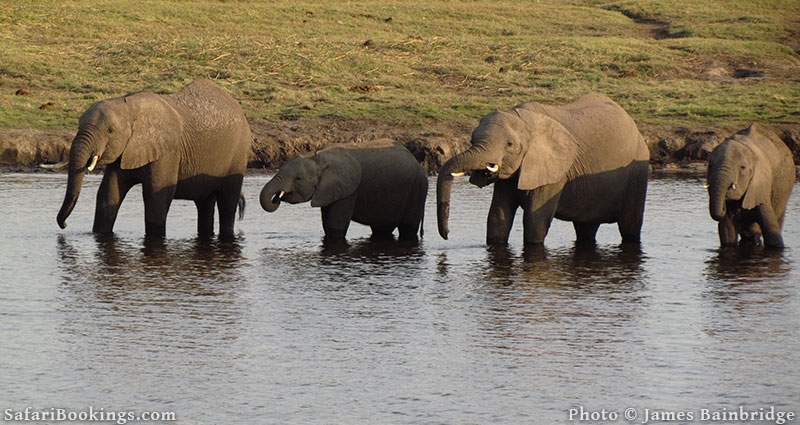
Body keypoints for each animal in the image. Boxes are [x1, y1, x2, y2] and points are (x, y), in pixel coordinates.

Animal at [56, 79, 252, 239]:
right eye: (78, 125)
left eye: (110, 131)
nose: (64, 225)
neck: (127, 106)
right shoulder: (125, 150)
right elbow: (109, 193)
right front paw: (99, 235)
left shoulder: (168, 151)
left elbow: (156, 195)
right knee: (205, 203)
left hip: (238, 153)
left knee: (227, 202)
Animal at [259, 143, 427, 241]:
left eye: (298, 179)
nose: (277, 198)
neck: (320, 158)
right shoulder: (329, 191)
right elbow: (327, 224)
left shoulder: (348, 191)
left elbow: (335, 225)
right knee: (382, 229)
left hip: (417, 190)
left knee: (408, 228)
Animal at [437, 93, 650, 246]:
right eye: (472, 139)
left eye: (510, 144)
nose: (447, 235)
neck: (524, 121)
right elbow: (498, 216)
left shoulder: (554, 171)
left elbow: (535, 220)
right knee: (586, 228)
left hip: (637, 174)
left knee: (630, 226)